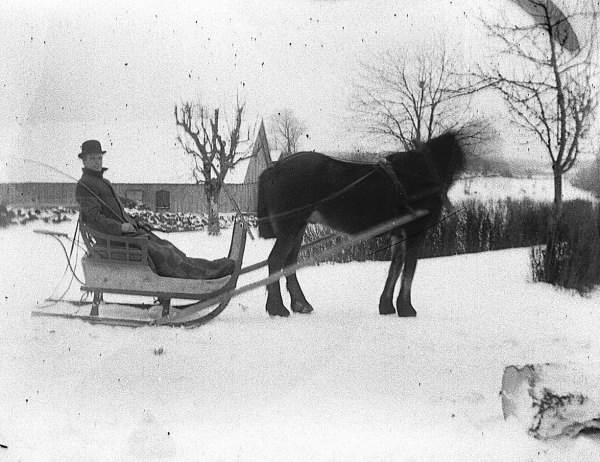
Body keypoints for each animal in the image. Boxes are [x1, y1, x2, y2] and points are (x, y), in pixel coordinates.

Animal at [255, 132, 466, 316]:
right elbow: (409, 270)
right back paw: (277, 308)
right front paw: (406, 308)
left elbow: (395, 267)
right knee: (275, 261)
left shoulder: (399, 232)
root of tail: (273, 168)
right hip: (290, 228)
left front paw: (387, 306)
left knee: (289, 263)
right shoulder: (416, 230)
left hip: (298, 228)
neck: (421, 172)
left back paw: (300, 304)